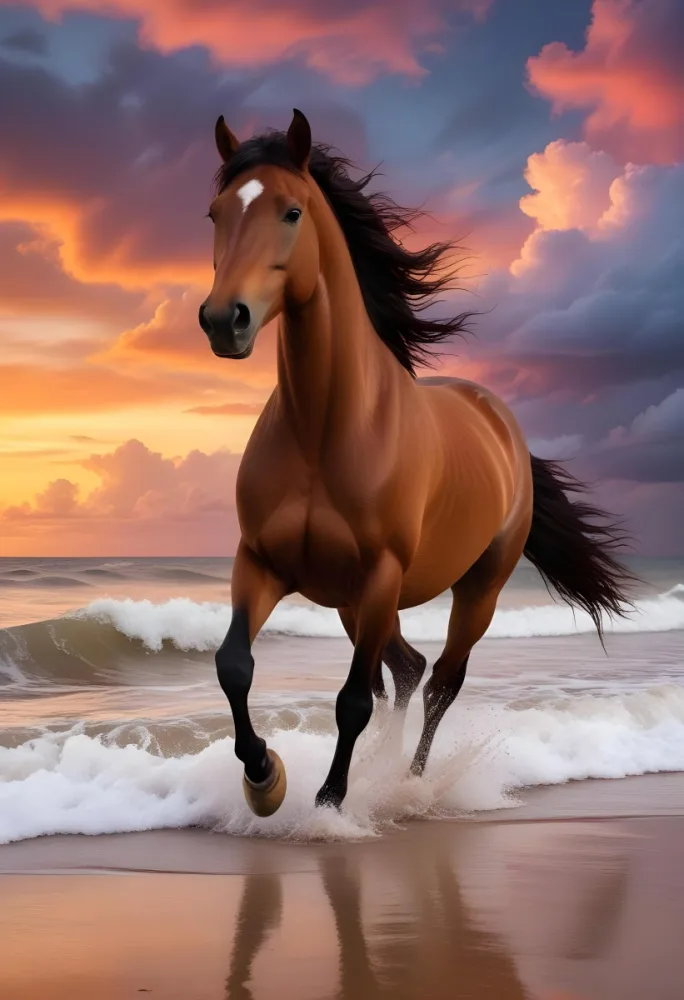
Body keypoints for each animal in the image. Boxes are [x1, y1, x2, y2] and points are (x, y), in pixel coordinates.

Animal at [198, 109, 634, 817]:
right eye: (215, 213)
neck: (325, 429)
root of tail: (499, 421)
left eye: (291, 211)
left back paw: (410, 784)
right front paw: (264, 779)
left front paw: (330, 803)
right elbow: (234, 665)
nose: (222, 320)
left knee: (439, 682)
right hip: (352, 602)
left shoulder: (381, 573)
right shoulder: (260, 562)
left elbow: (351, 700)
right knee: (405, 671)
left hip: (473, 590)